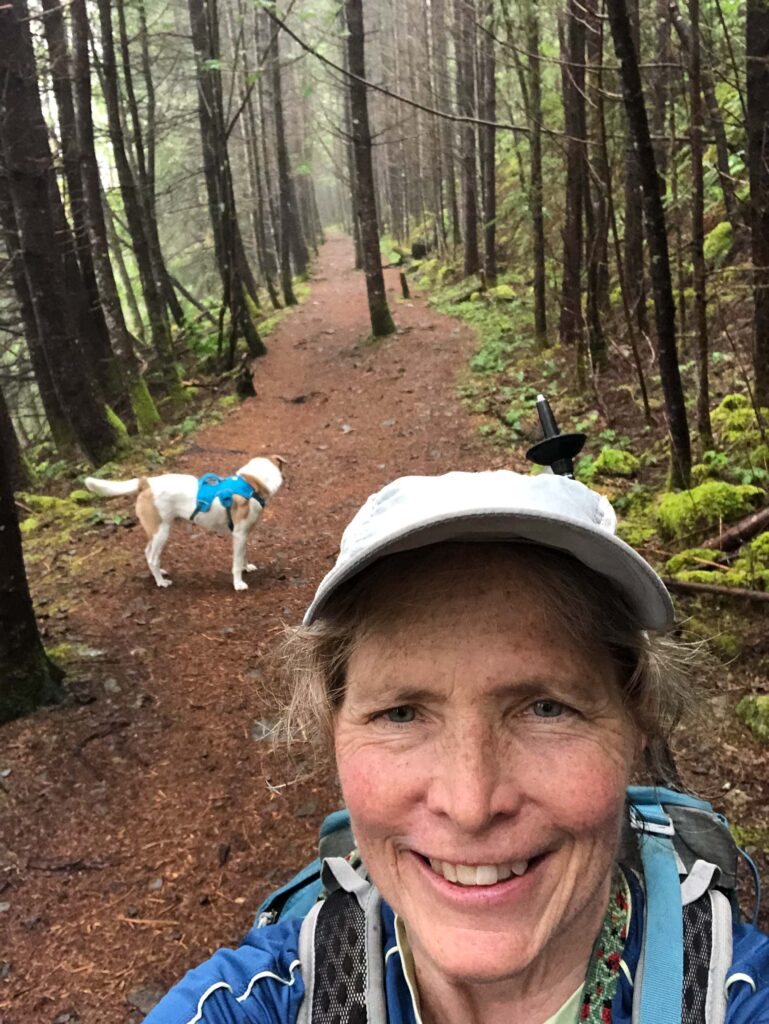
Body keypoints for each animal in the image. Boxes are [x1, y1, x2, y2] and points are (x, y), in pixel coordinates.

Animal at [84, 458, 282, 593]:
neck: (251, 484)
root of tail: (146, 483)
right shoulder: (239, 534)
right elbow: (236, 563)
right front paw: (238, 583)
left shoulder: (243, 535)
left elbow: (243, 556)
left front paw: (246, 567)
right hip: (161, 532)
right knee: (152, 557)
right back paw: (161, 582)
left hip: (156, 532)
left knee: (148, 553)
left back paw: (159, 573)